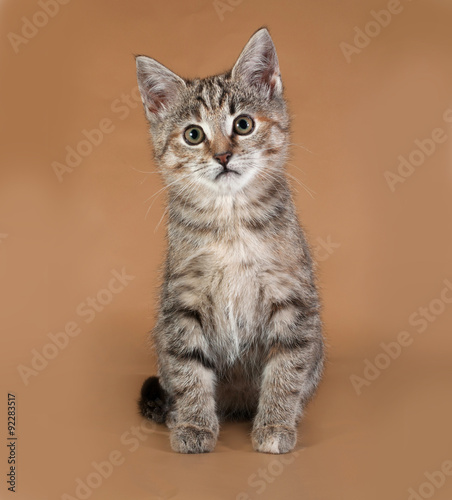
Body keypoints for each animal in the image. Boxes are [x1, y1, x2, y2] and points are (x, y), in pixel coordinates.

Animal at [136, 28, 324, 458]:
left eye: (243, 124)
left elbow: (286, 369)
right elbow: (188, 369)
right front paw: (194, 425)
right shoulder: (182, 302)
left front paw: (274, 424)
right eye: (193, 134)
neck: (231, 218)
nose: (223, 155)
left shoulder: (292, 298)